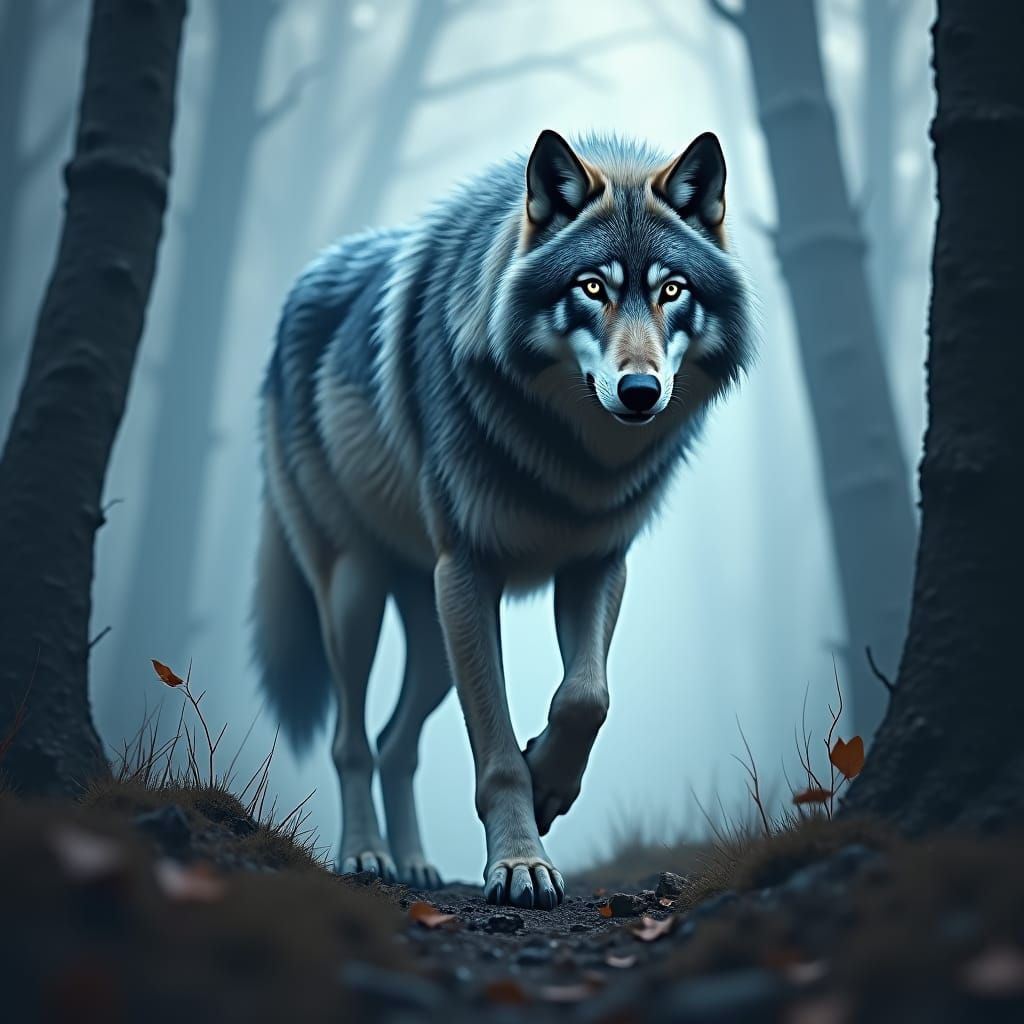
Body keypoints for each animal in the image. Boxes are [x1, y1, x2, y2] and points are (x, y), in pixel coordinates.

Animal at [252, 130, 754, 909]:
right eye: (592, 287)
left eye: (672, 290)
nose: (640, 391)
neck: (572, 460)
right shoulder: (469, 572)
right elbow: (495, 754)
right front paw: (520, 862)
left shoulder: (596, 565)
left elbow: (586, 697)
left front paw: (550, 781)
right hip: (358, 594)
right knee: (351, 739)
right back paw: (366, 855)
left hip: (432, 635)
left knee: (397, 743)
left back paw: (416, 865)